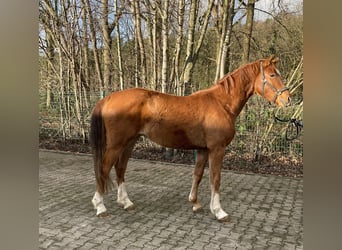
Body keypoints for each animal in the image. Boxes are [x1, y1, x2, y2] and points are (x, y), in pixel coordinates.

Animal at [89, 54, 290, 221]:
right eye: (273, 75)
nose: (288, 99)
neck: (221, 104)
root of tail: (107, 98)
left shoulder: (203, 150)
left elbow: (198, 175)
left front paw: (195, 203)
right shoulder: (217, 149)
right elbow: (215, 179)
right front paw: (219, 211)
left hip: (129, 142)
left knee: (120, 168)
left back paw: (126, 202)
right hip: (116, 144)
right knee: (104, 169)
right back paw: (100, 207)